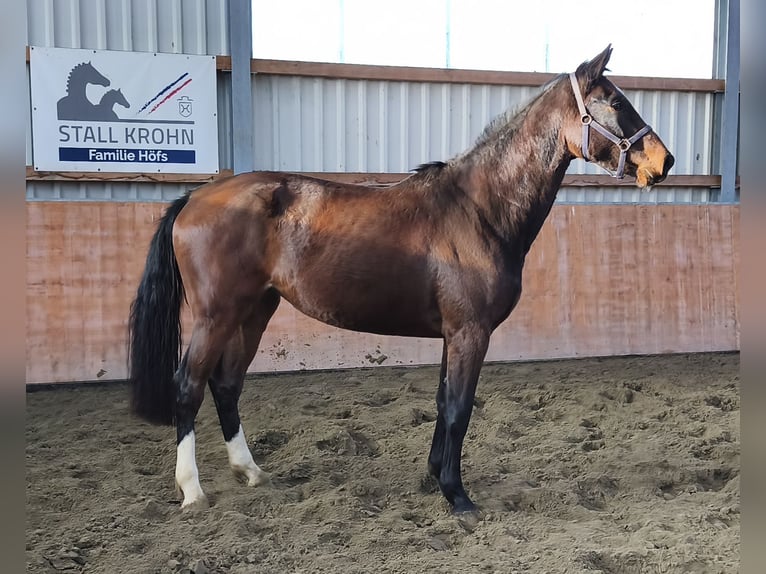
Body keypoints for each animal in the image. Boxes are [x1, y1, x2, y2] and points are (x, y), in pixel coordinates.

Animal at [128, 46, 674, 519]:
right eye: (616, 102)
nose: (663, 161)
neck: (479, 209)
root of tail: (196, 197)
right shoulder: (471, 333)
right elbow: (459, 409)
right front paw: (458, 496)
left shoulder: (453, 334)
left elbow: (443, 403)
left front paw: (435, 477)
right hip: (216, 315)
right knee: (188, 386)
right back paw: (192, 490)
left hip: (254, 311)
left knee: (226, 385)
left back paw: (251, 471)